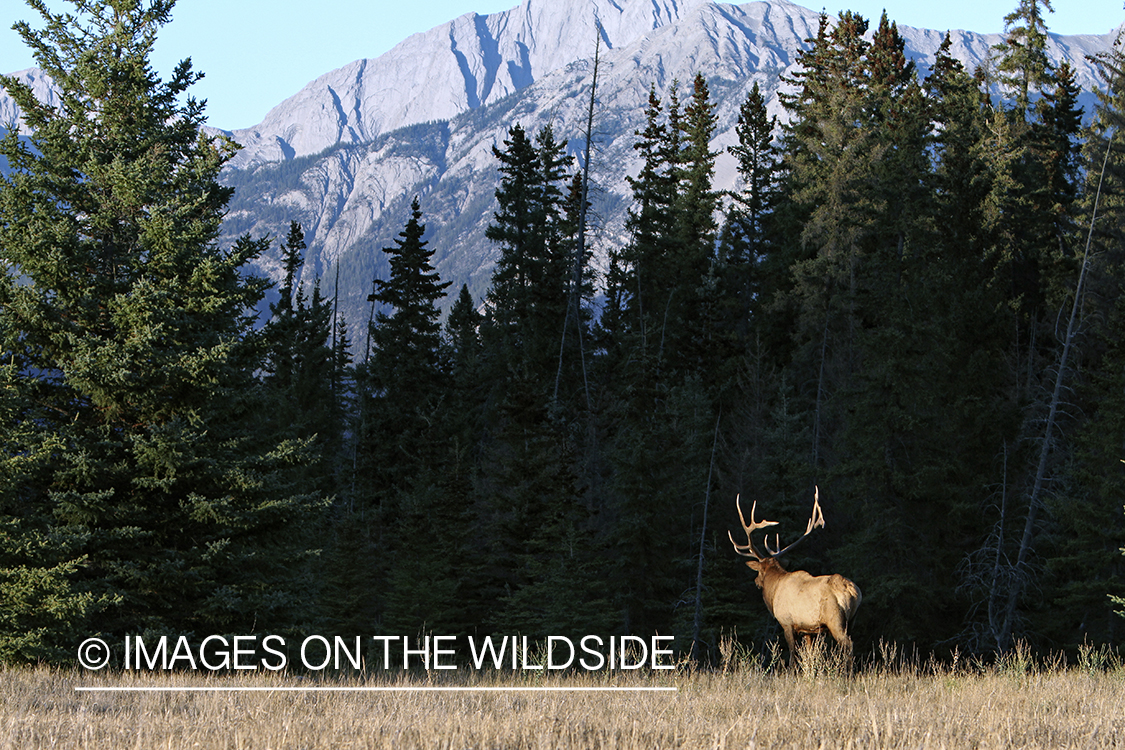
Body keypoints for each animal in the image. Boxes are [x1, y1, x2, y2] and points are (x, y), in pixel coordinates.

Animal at [729, 490, 859, 665]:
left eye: (759, 571)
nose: (756, 582)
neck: (774, 591)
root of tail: (853, 591)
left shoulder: (787, 623)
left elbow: (792, 657)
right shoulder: (809, 630)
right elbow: (810, 656)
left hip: (836, 621)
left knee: (848, 645)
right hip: (851, 621)